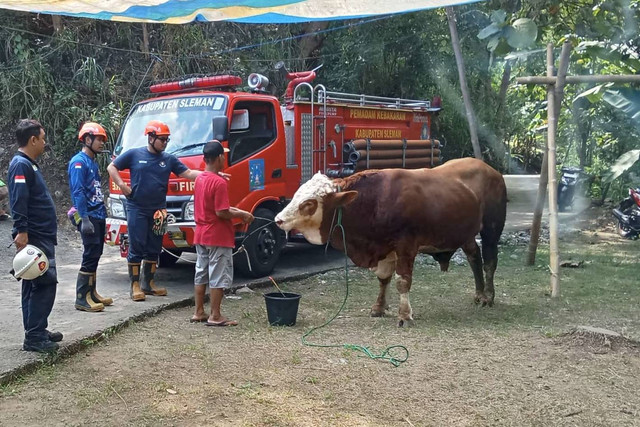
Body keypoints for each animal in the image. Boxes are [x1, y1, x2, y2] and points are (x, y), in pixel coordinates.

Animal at [276, 158, 504, 328]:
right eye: (296, 195)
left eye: (309, 203)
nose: (279, 219)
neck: (375, 201)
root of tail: (491, 170)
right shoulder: (384, 248)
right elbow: (383, 279)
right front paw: (378, 307)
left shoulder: (406, 246)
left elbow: (402, 281)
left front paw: (404, 315)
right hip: (466, 234)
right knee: (474, 256)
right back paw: (479, 294)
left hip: (492, 229)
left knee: (490, 261)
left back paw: (488, 297)